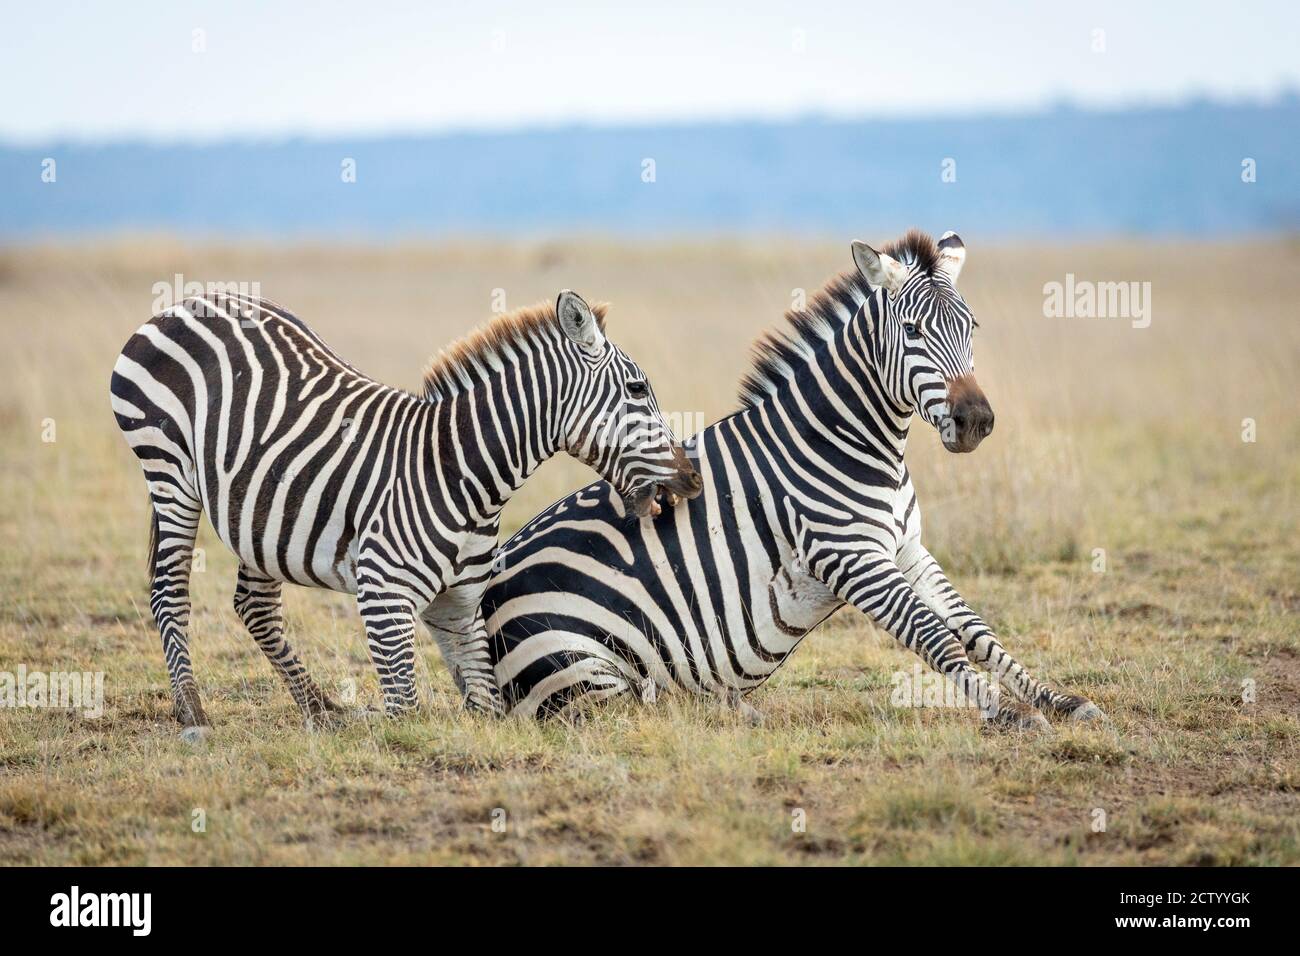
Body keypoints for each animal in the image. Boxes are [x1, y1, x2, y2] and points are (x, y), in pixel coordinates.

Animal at [110, 289, 702, 735]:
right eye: (637, 389)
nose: (692, 479)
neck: (461, 472)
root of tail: (187, 300)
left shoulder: (460, 605)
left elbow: (487, 707)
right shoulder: (383, 597)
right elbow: (405, 714)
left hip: (259, 512)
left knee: (254, 604)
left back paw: (320, 709)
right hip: (168, 470)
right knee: (169, 589)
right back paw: (192, 711)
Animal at [484, 230, 1104, 730]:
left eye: (971, 327)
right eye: (910, 330)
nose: (975, 419)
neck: (852, 442)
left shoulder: (906, 548)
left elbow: (976, 630)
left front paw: (1057, 700)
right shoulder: (851, 557)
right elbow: (933, 635)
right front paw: (1009, 713)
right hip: (585, 665)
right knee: (645, 707)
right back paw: (723, 710)